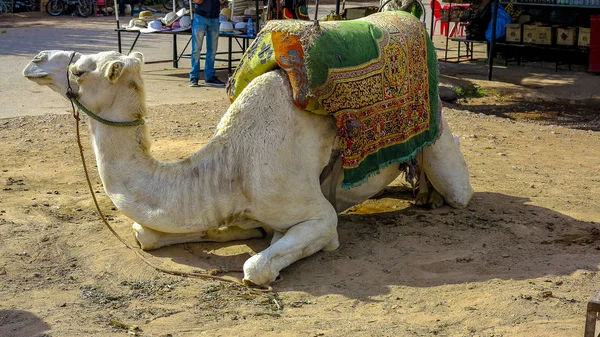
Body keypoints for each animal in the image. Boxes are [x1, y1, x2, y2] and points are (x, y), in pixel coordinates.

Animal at [23, 48, 474, 284]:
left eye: (80, 70)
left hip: (441, 138)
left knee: (459, 189)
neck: (231, 166)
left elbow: (256, 266)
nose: (35, 60)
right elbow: (145, 234)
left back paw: (433, 197)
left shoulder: (317, 214)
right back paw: (419, 192)